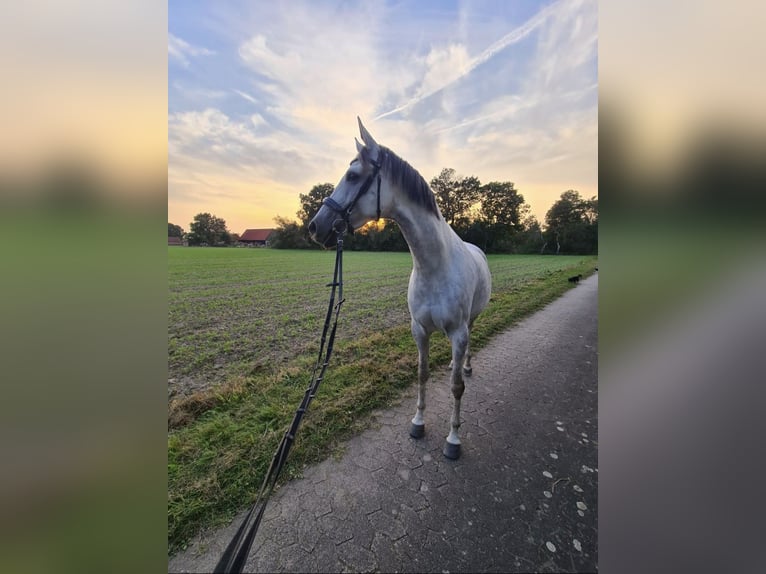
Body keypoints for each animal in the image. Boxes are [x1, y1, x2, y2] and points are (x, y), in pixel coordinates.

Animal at [308, 117, 492, 460]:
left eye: (353, 175)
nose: (316, 227)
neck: (434, 266)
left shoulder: (458, 332)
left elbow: (456, 387)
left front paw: (453, 439)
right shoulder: (419, 329)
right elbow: (422, 374)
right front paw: (418, 423)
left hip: (470, 322)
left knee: (468, 350)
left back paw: (466, 366)